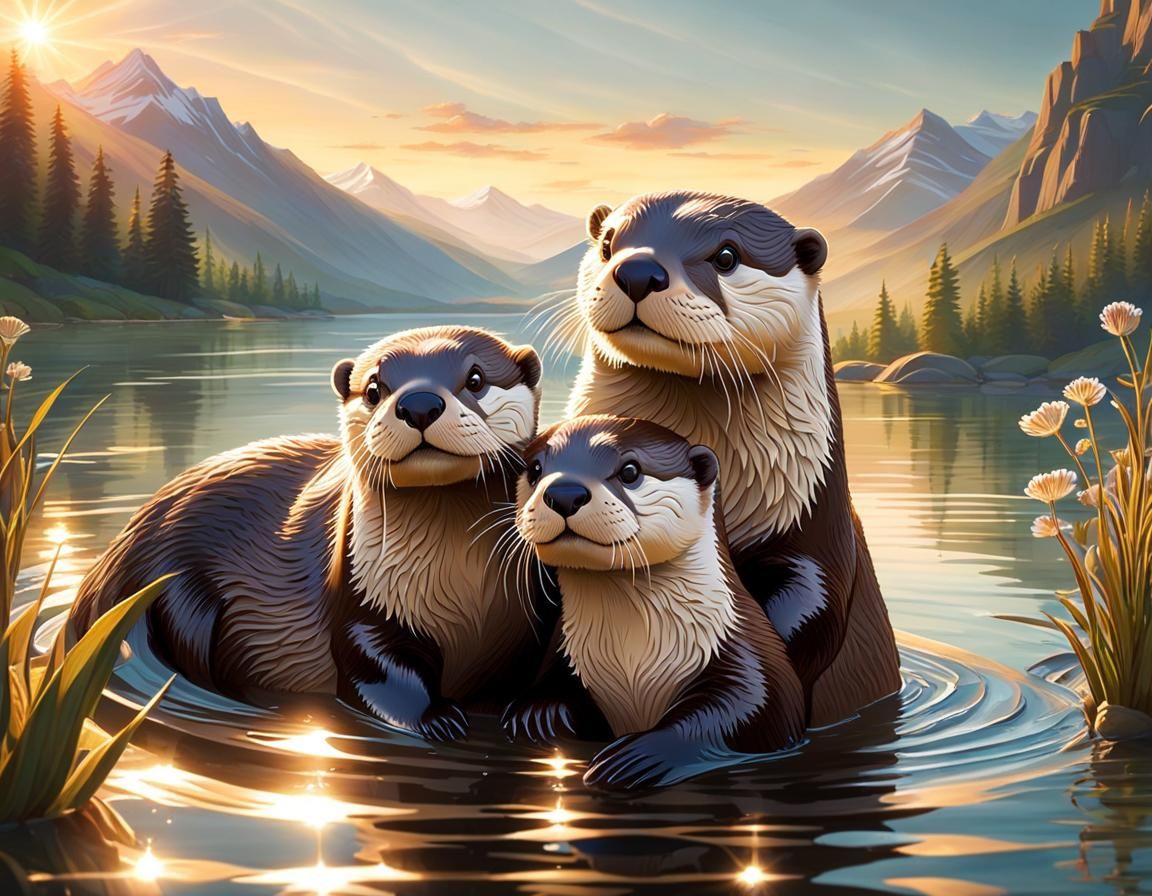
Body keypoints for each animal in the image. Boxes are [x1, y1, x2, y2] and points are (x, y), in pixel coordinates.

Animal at [69, 326, 546, 741]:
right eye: (374, 389)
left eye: (476, 379)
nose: (419, 403)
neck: (461, 597)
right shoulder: (363, 598)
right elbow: (374, 667)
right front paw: (434, 718)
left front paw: (539, 710)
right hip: (175, 591)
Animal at [503, 415, 806, 790]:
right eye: (535, 469)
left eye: (630, 471)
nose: (564, 493)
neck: (633, 659)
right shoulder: (563, 652)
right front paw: (539, 719)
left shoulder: (749, 657)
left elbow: (749, 710)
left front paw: (634, 757)